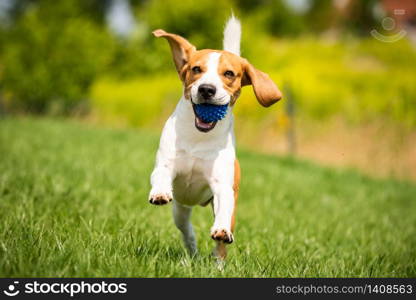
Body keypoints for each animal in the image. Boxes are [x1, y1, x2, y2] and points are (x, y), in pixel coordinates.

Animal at [148, 16, 282, 260]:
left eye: (229, 74)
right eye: (196, 69)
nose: (207, 89)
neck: (199, 138)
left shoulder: (222, 186)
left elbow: (223, 209)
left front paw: (220, 231)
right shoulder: (166, 164)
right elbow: (161, 174)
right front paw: (160, 192)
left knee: (221, 245)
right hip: (181, 209)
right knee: (186, 230)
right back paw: (191, 252)